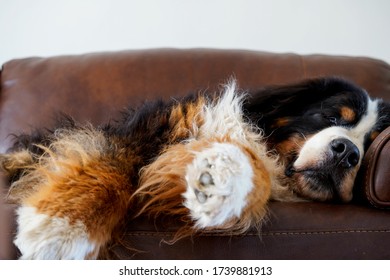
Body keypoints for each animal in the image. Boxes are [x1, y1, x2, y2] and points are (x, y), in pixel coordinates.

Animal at [0, 76, 390, 258]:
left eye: (372, 142)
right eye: (331, 117)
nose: (348, 152)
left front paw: (216, 182)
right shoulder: (144, 132)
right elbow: (107, 166)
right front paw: (62, 233)